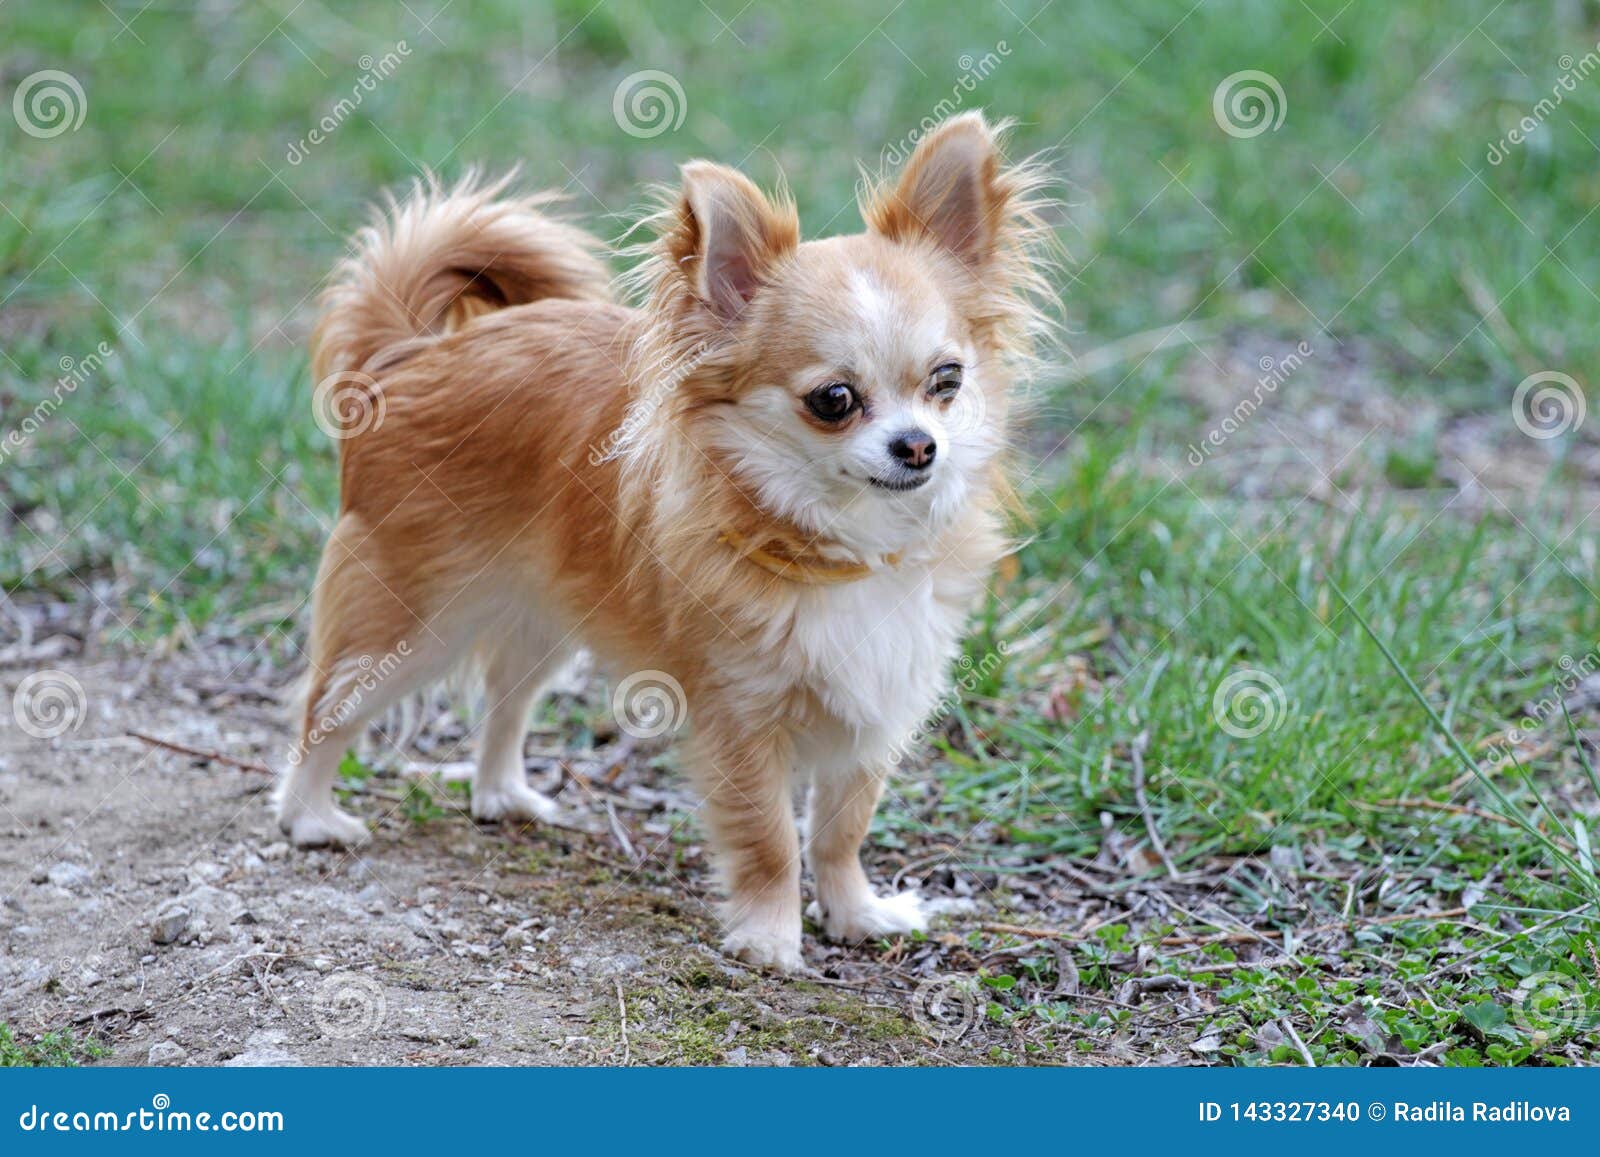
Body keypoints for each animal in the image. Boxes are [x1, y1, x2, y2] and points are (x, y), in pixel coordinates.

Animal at [275, 112, 1049, 972]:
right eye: (834, 399)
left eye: (947, 381)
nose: (919, 446)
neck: (840, 545)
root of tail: (409, 356)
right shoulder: (740, 717)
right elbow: (772, 837)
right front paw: (770, 937)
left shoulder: (878, 705)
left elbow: (842, 828)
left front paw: (856, 913)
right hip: (408, 622)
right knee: (325, 709)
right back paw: (310, 816)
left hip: (542, 620)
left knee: (504, 704)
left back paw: (503, 795)